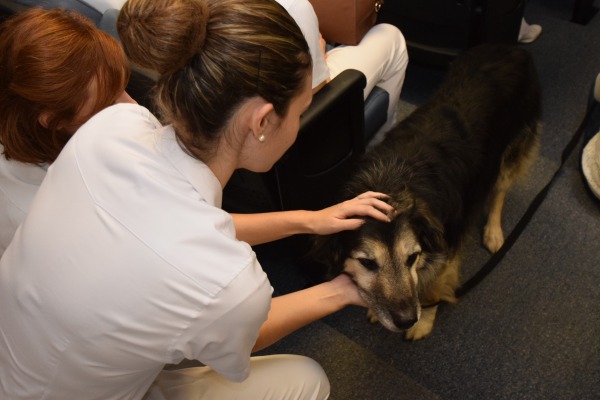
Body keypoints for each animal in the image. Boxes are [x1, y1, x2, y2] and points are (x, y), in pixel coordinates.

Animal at [316, 46, 540, 340]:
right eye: (368, 264)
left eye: (412, 258)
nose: (406, 320)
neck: (389, 181)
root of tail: (511, 48)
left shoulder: (447, 246)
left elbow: (433, 287)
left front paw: (423, 322)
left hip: (512, 146)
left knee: (499, 189)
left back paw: (493, 231)